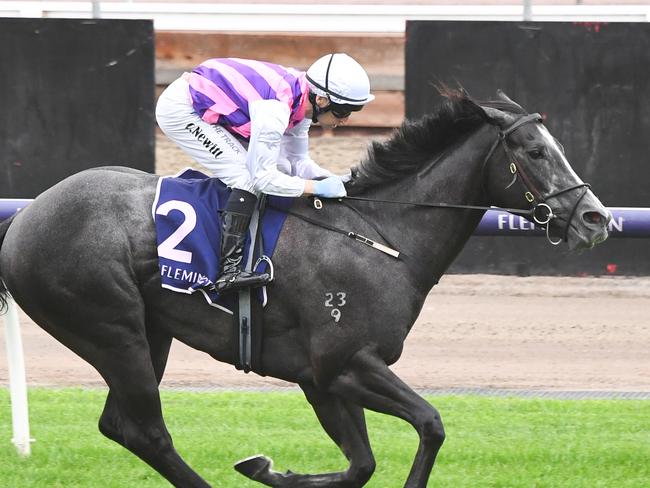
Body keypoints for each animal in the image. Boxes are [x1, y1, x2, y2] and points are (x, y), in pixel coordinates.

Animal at [0, 89, 608, 486]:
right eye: (535, 152)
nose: (596, 218)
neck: (381, 236)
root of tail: (25, 216)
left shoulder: (324, 379)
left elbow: (362, 464)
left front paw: (268, 468)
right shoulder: (343, 363)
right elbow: (430, 425)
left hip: (150, 332)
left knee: (122, 426)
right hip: (110, 327)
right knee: (148, 431)